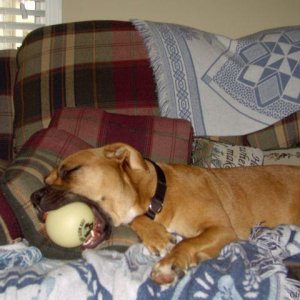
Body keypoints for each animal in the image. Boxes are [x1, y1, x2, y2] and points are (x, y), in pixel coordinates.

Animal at [33, 142, 300, 284]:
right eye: (46, 179)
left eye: (69, 171)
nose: (34, 198)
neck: (157, 195)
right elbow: (142, 222)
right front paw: (157, 236)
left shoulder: (221, 229)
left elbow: (186, 243)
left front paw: (169, 264)